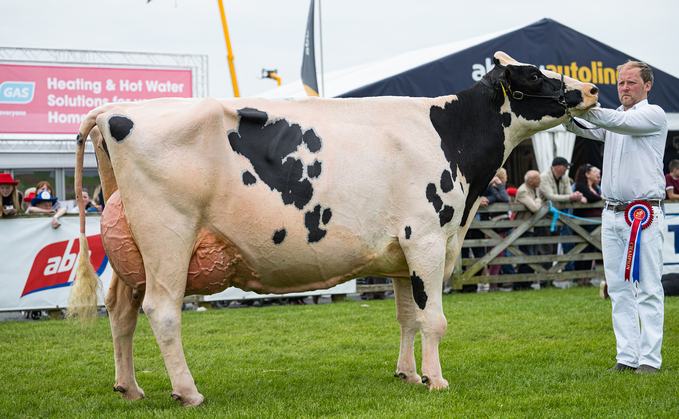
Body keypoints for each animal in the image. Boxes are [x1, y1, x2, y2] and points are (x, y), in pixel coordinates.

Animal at [70, 51, 600, 406]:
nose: (593, 89)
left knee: (121, 309)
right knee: (162, 311)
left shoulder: (401, 252)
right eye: (535, 74)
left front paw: (409, 376)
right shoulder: (427, 238)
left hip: (133, 247)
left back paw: (129, 387)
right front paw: (437, 380)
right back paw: (188, 392)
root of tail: (114, 111)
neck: (449, 134)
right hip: (168, 235)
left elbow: (407, 317)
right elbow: (434, 319)